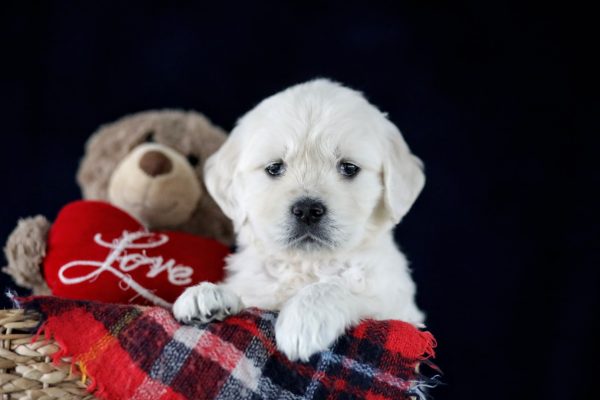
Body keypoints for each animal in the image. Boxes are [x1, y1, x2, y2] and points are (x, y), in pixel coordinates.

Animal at [173, 79, 426, 360]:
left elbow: (340, 286)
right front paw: (208, 293)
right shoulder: (258, 289)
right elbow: (248, 296)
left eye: (349, 168)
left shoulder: (397, 306)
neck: (308, 264)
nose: (307, 210)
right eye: (274, 168)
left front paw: (304, 319)